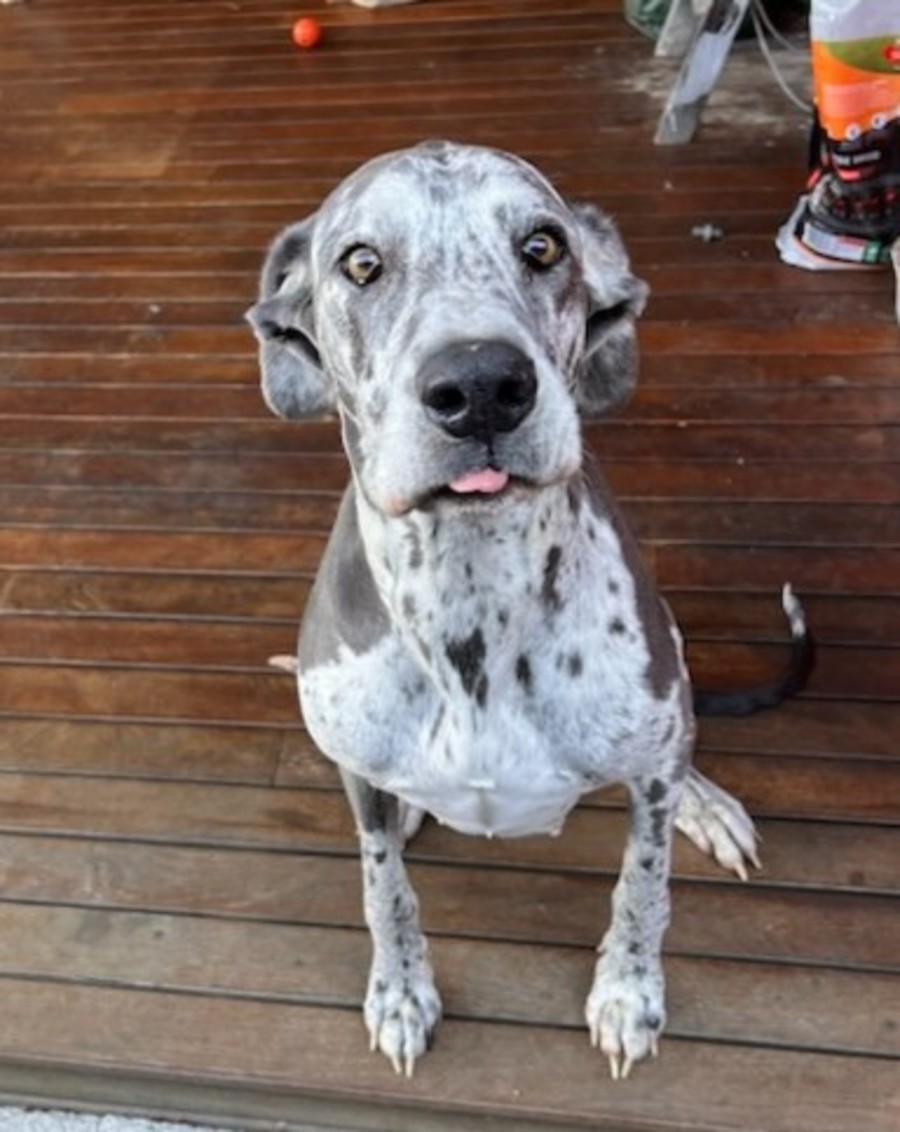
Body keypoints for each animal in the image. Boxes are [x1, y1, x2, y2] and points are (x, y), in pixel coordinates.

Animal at [247, 141, 810, 1080]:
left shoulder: (647, 776)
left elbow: (643, 886)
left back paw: (706, 802)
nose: (480, 384)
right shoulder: (358, 781)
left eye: (543, 246)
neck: (470, 602)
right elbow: (383, 889)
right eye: (360, 263)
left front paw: (628, 995)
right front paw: (400, 992)